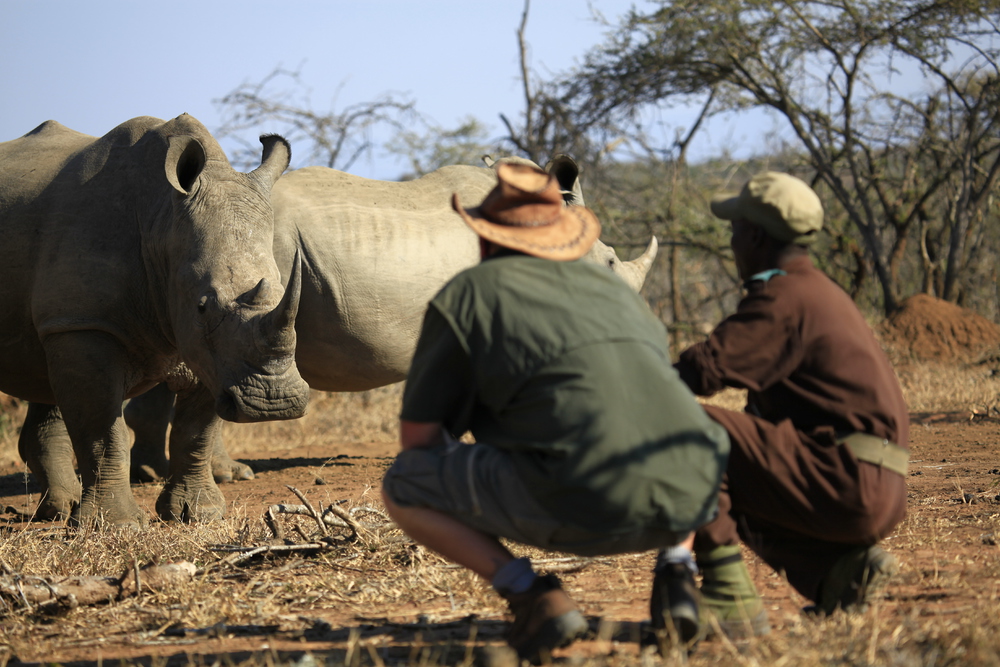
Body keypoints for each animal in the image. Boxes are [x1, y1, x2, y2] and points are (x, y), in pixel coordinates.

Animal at [0, 117, 312, 528]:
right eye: (203, 305)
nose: (274, 404)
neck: (161, 219)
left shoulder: (202, 344)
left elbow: (196, 430)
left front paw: (198, 515)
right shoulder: (90, 322)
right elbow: (103, 431)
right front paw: (114, 525)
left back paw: (58, 512)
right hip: (70, 317)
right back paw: (65, 514)